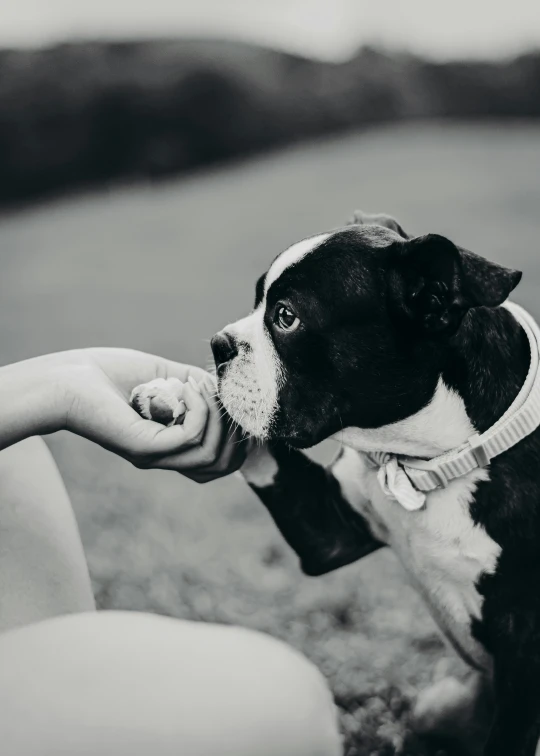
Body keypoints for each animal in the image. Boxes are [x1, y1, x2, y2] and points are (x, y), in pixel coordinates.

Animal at [209, 211, 540, 756]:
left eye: (285, 317)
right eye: (258, 302)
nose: (218, 345)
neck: (425, 463)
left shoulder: (524, 653)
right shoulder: (330, 531)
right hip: (441, 704)